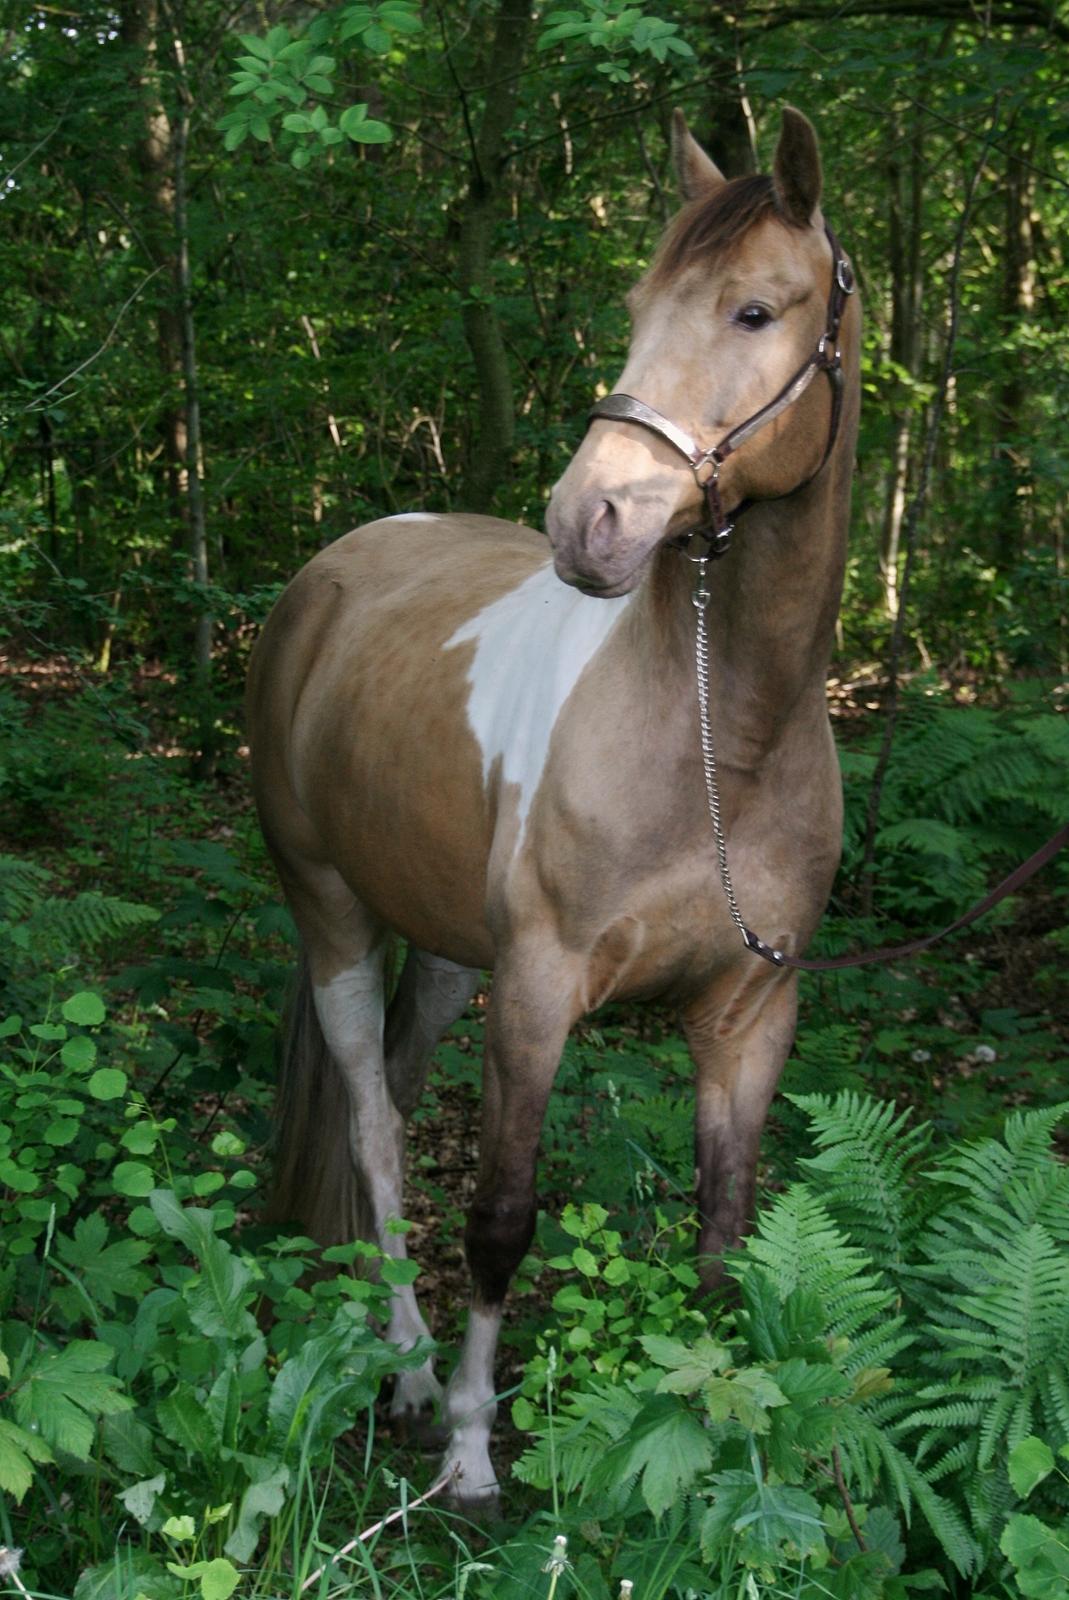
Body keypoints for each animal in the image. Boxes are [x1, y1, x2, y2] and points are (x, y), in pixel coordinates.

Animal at [248, 106, 857, 1504]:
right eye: (637, 306)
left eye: (755, 309)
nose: (591, 521)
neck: (719, 741)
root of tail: (330, 573)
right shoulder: (535, 992)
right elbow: (502, 1215)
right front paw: (476, 1446)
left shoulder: (749, 1014)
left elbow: (725, 1230)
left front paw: (725, 1453)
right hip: (333, 916)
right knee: (373, 1129)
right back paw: (413, 1377)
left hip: (442, 954)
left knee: (397, 1096)